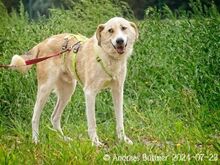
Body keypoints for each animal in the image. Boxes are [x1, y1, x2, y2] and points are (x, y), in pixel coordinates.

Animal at [10, 16, 138, 146]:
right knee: (35, 116)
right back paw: (35, 140)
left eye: (124, 28)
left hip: (67, 91)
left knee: (54, 117)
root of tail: (43, 43)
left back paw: (64, 139)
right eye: (110, 30)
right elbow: (92, 122)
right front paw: (95, 142)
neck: (108, 57)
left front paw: (123, 139)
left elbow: (120, 119)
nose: (119, 41)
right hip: (45, 89)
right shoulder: (89, 93)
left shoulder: (118, 90)